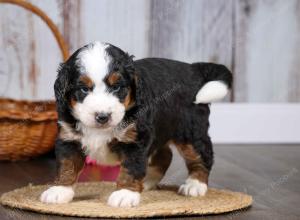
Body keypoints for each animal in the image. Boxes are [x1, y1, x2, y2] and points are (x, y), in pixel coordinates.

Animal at [39, 41, 232, 208]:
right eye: (84, 89)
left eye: (116, 87)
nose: (103, 116)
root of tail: (193, 69)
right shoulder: (68, 137)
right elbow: (67, 165)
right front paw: (59, 190)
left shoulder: (135, 139)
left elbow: (131, 167)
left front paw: (125, 193)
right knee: (165, 155)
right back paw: (147, 182)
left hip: (190, 131)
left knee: (202, 156)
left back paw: (195, 185)